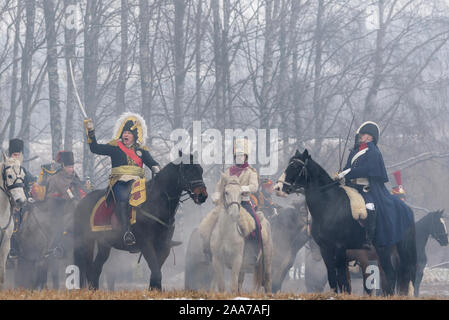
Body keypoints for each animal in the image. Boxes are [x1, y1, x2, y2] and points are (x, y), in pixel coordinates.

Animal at [73, 154, 206, 292]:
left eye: (200, 170)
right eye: (188, 170)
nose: (202, 195)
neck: (156, 202)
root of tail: (82, 202)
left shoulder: (164, 246)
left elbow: (156, 272)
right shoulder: (146, 244)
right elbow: (156, 272)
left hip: (104, 244)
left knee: (95, 269)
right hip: (86, 242)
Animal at [280, 149, 416, 296]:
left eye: (295, 166)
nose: (279, 187)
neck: (329, 205)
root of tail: (407, 209)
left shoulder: (340, 249)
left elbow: (342, 280)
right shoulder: (325, 249)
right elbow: (332, 277)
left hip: (389, 250)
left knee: (393, 276)